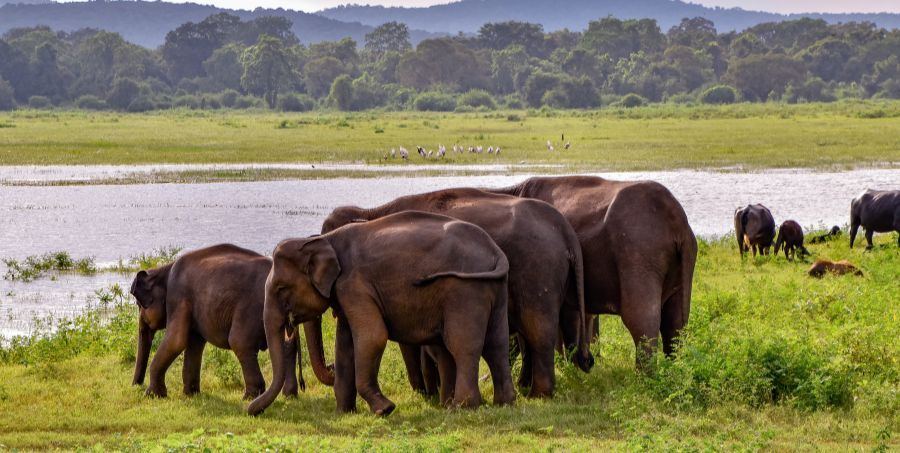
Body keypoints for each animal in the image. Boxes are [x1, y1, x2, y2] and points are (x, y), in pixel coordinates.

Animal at [130, 244, 304, 399]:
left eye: (139, 304)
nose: (136, 386)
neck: (165, 268)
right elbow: (194, 343)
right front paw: (191, 395)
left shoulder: (178, 296)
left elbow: (176, 341)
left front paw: (152, 395)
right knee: (287, 345)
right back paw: (289, 395)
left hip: (254, 309)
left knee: (240, 342)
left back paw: (250, 397)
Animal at [248, 211, 516, 416]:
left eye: (281, 288)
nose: (252, 411)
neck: (323, 240)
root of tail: (496, 251)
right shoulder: (347, 293)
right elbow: (345, 345)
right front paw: (344, 412)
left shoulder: (354, 285)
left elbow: (372, 336)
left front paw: (384, 409)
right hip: (495, 288)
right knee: (497, 343)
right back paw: (504, 403)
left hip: (465, 290)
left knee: (462, 344)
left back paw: (463, 407)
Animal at [313, 187, 593, 399]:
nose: (331, 367)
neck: (372, 213)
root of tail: (564, 229)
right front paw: (432, 392)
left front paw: (427, 393)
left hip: (538, 271)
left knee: (538, 331)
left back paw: (538, 394)